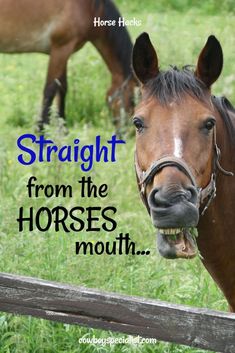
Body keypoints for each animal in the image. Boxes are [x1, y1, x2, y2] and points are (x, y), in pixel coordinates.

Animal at [0, 0, 136, 131]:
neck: (89, 8)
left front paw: (63, 130)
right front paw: (41, 129)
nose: (127, 133)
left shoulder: (65, 52)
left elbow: (62, 88)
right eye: (133, 99)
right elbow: (50, 90)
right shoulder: (60, 49)